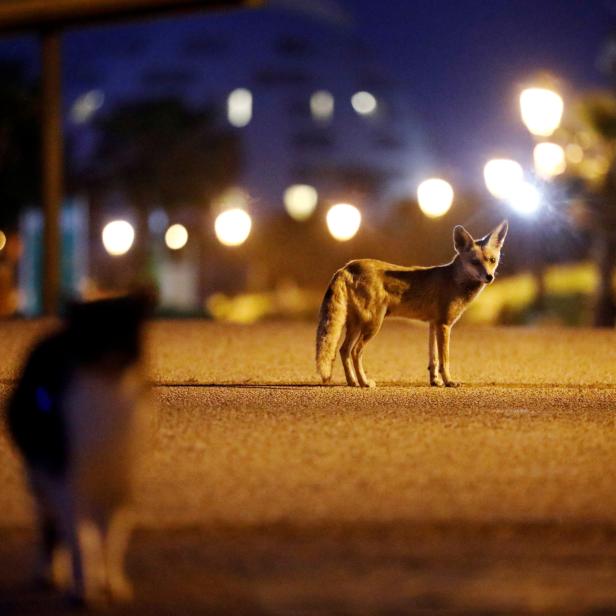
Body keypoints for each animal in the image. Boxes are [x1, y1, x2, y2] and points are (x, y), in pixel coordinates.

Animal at [5, 294, 150, 608]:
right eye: (92, 337)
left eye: (123, 332)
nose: (110, 353)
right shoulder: (69, 482)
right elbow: (84, 540)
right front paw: (84, 589)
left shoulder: (122, 484)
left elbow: (113, 539)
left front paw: (113, 583)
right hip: (42, 472)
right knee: (51, 524)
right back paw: (51, 573)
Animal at [316, 219, 508, 388]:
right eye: (475, 262)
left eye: (492, 260)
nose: (489, 277)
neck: (455, 281)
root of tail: (347, 266)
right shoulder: (444, 325)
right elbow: (444, 360)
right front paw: (449, 382)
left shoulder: (433, 324)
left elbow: (433, 360)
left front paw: (435, 382)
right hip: (372, 324)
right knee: (355, 351)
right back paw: (364, 383)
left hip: (356, 324)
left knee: (343, 351)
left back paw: (352, 382)